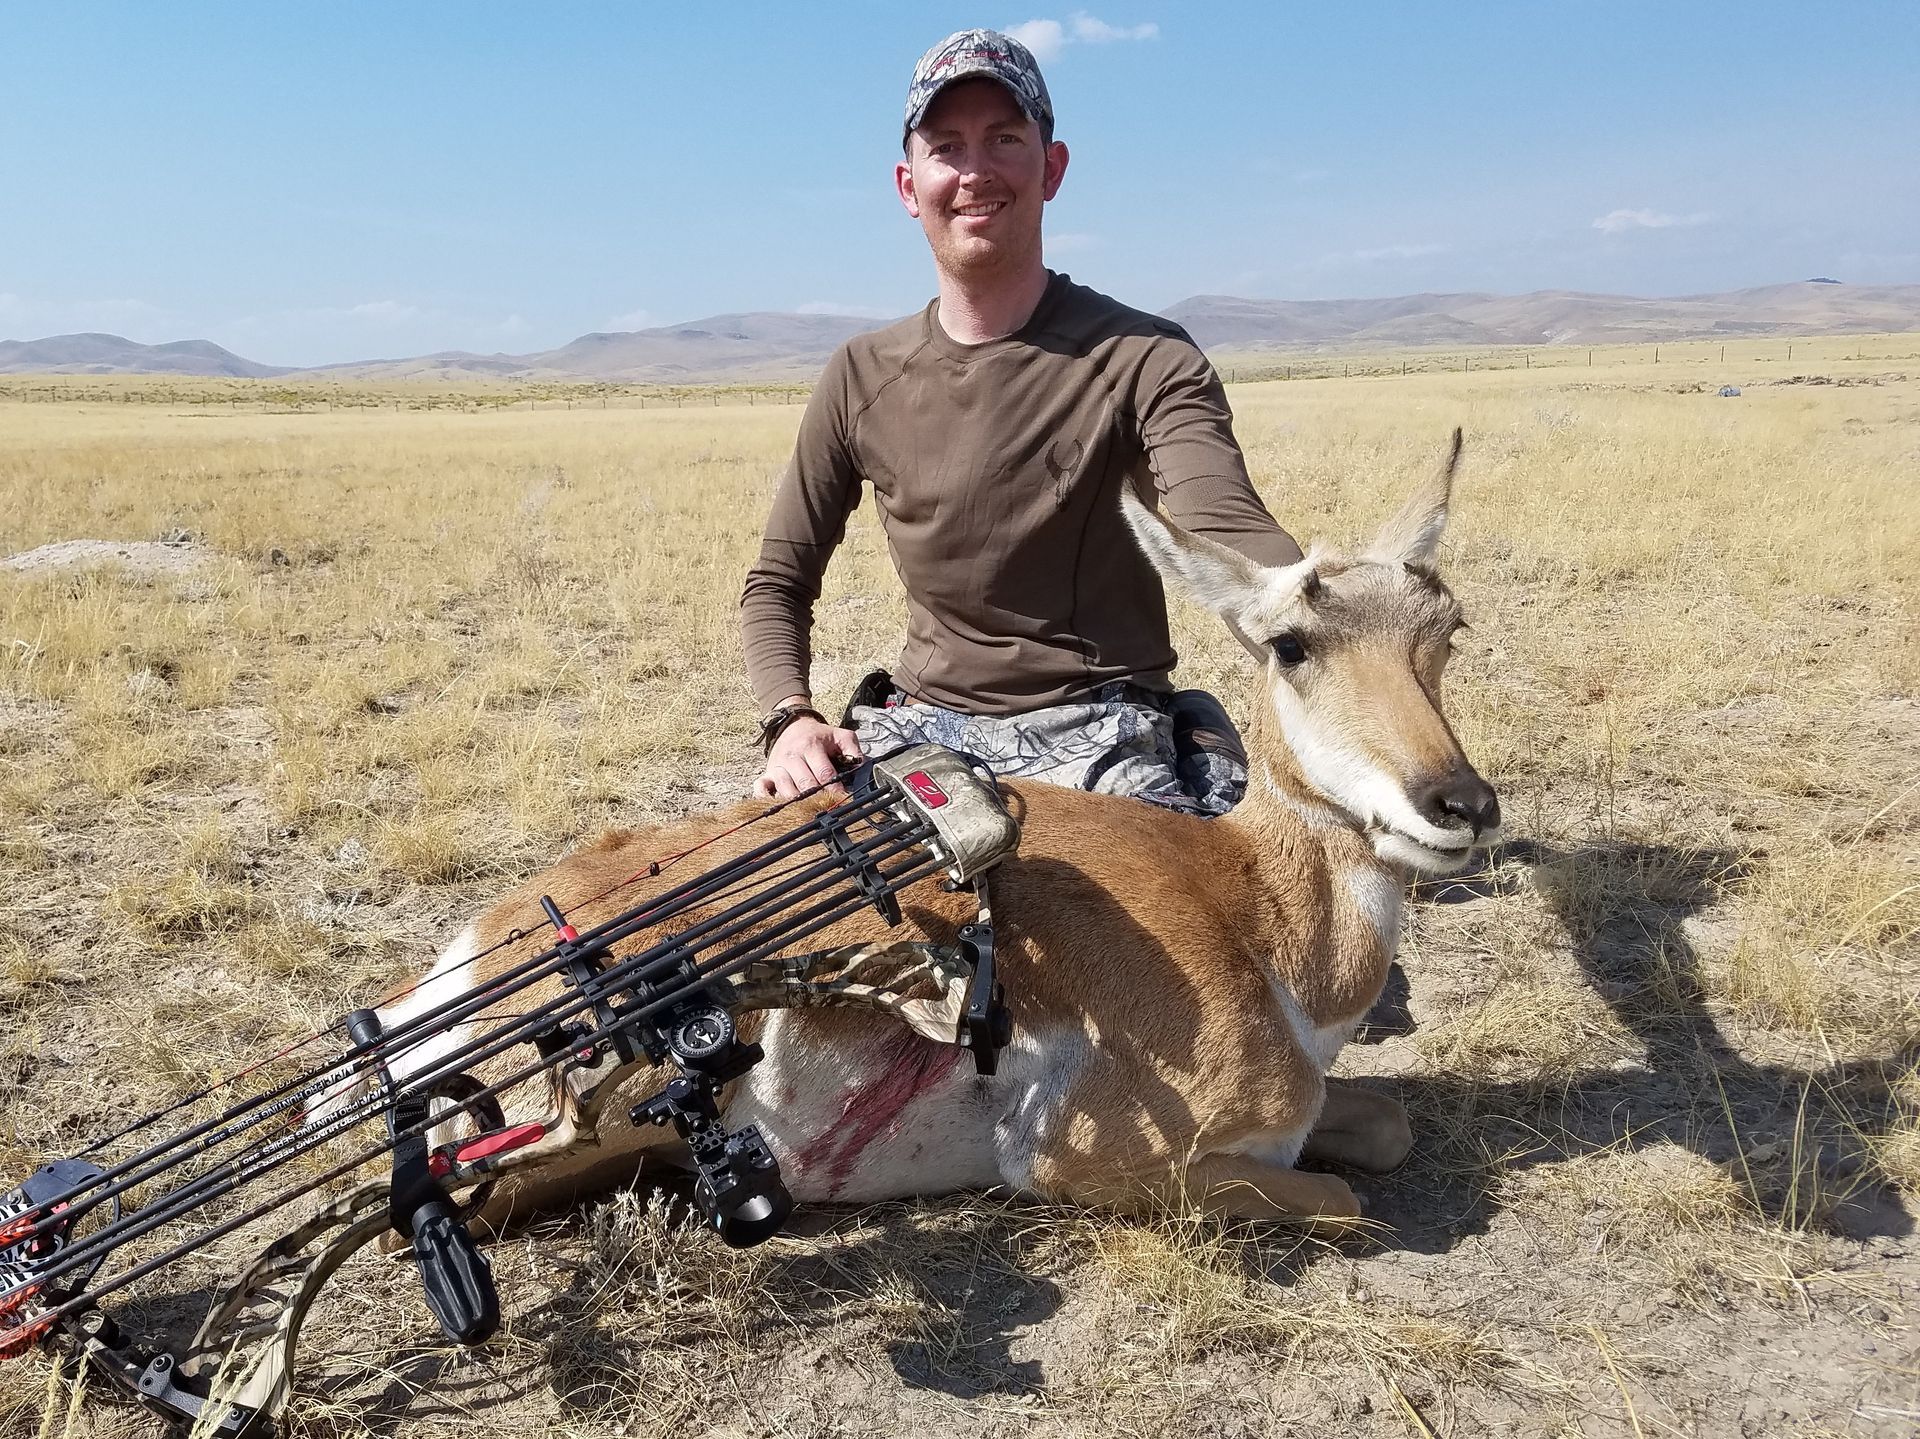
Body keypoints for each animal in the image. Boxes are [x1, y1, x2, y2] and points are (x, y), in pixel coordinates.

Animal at [364, 429, 1497, 1228]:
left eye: (1448, 629)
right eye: (1292, 643)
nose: (1462, 803)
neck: (1246, 906)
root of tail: (470, 952)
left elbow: (1386, 1124)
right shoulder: (1083, 1159)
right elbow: (1346, 1200)